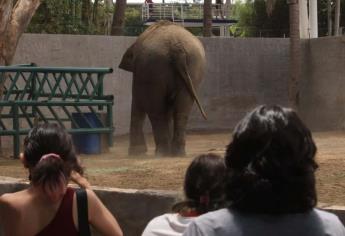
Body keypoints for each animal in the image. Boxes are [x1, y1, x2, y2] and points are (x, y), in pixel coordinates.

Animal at [118, 20, 206, 157]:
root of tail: (176, 48)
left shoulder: (140, 75)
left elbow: (138, 102)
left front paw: (135, 152)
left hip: (153, 68)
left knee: (156, 112)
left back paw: (162, 152)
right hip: (194, 67)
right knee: (182, 110)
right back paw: (177, 153)